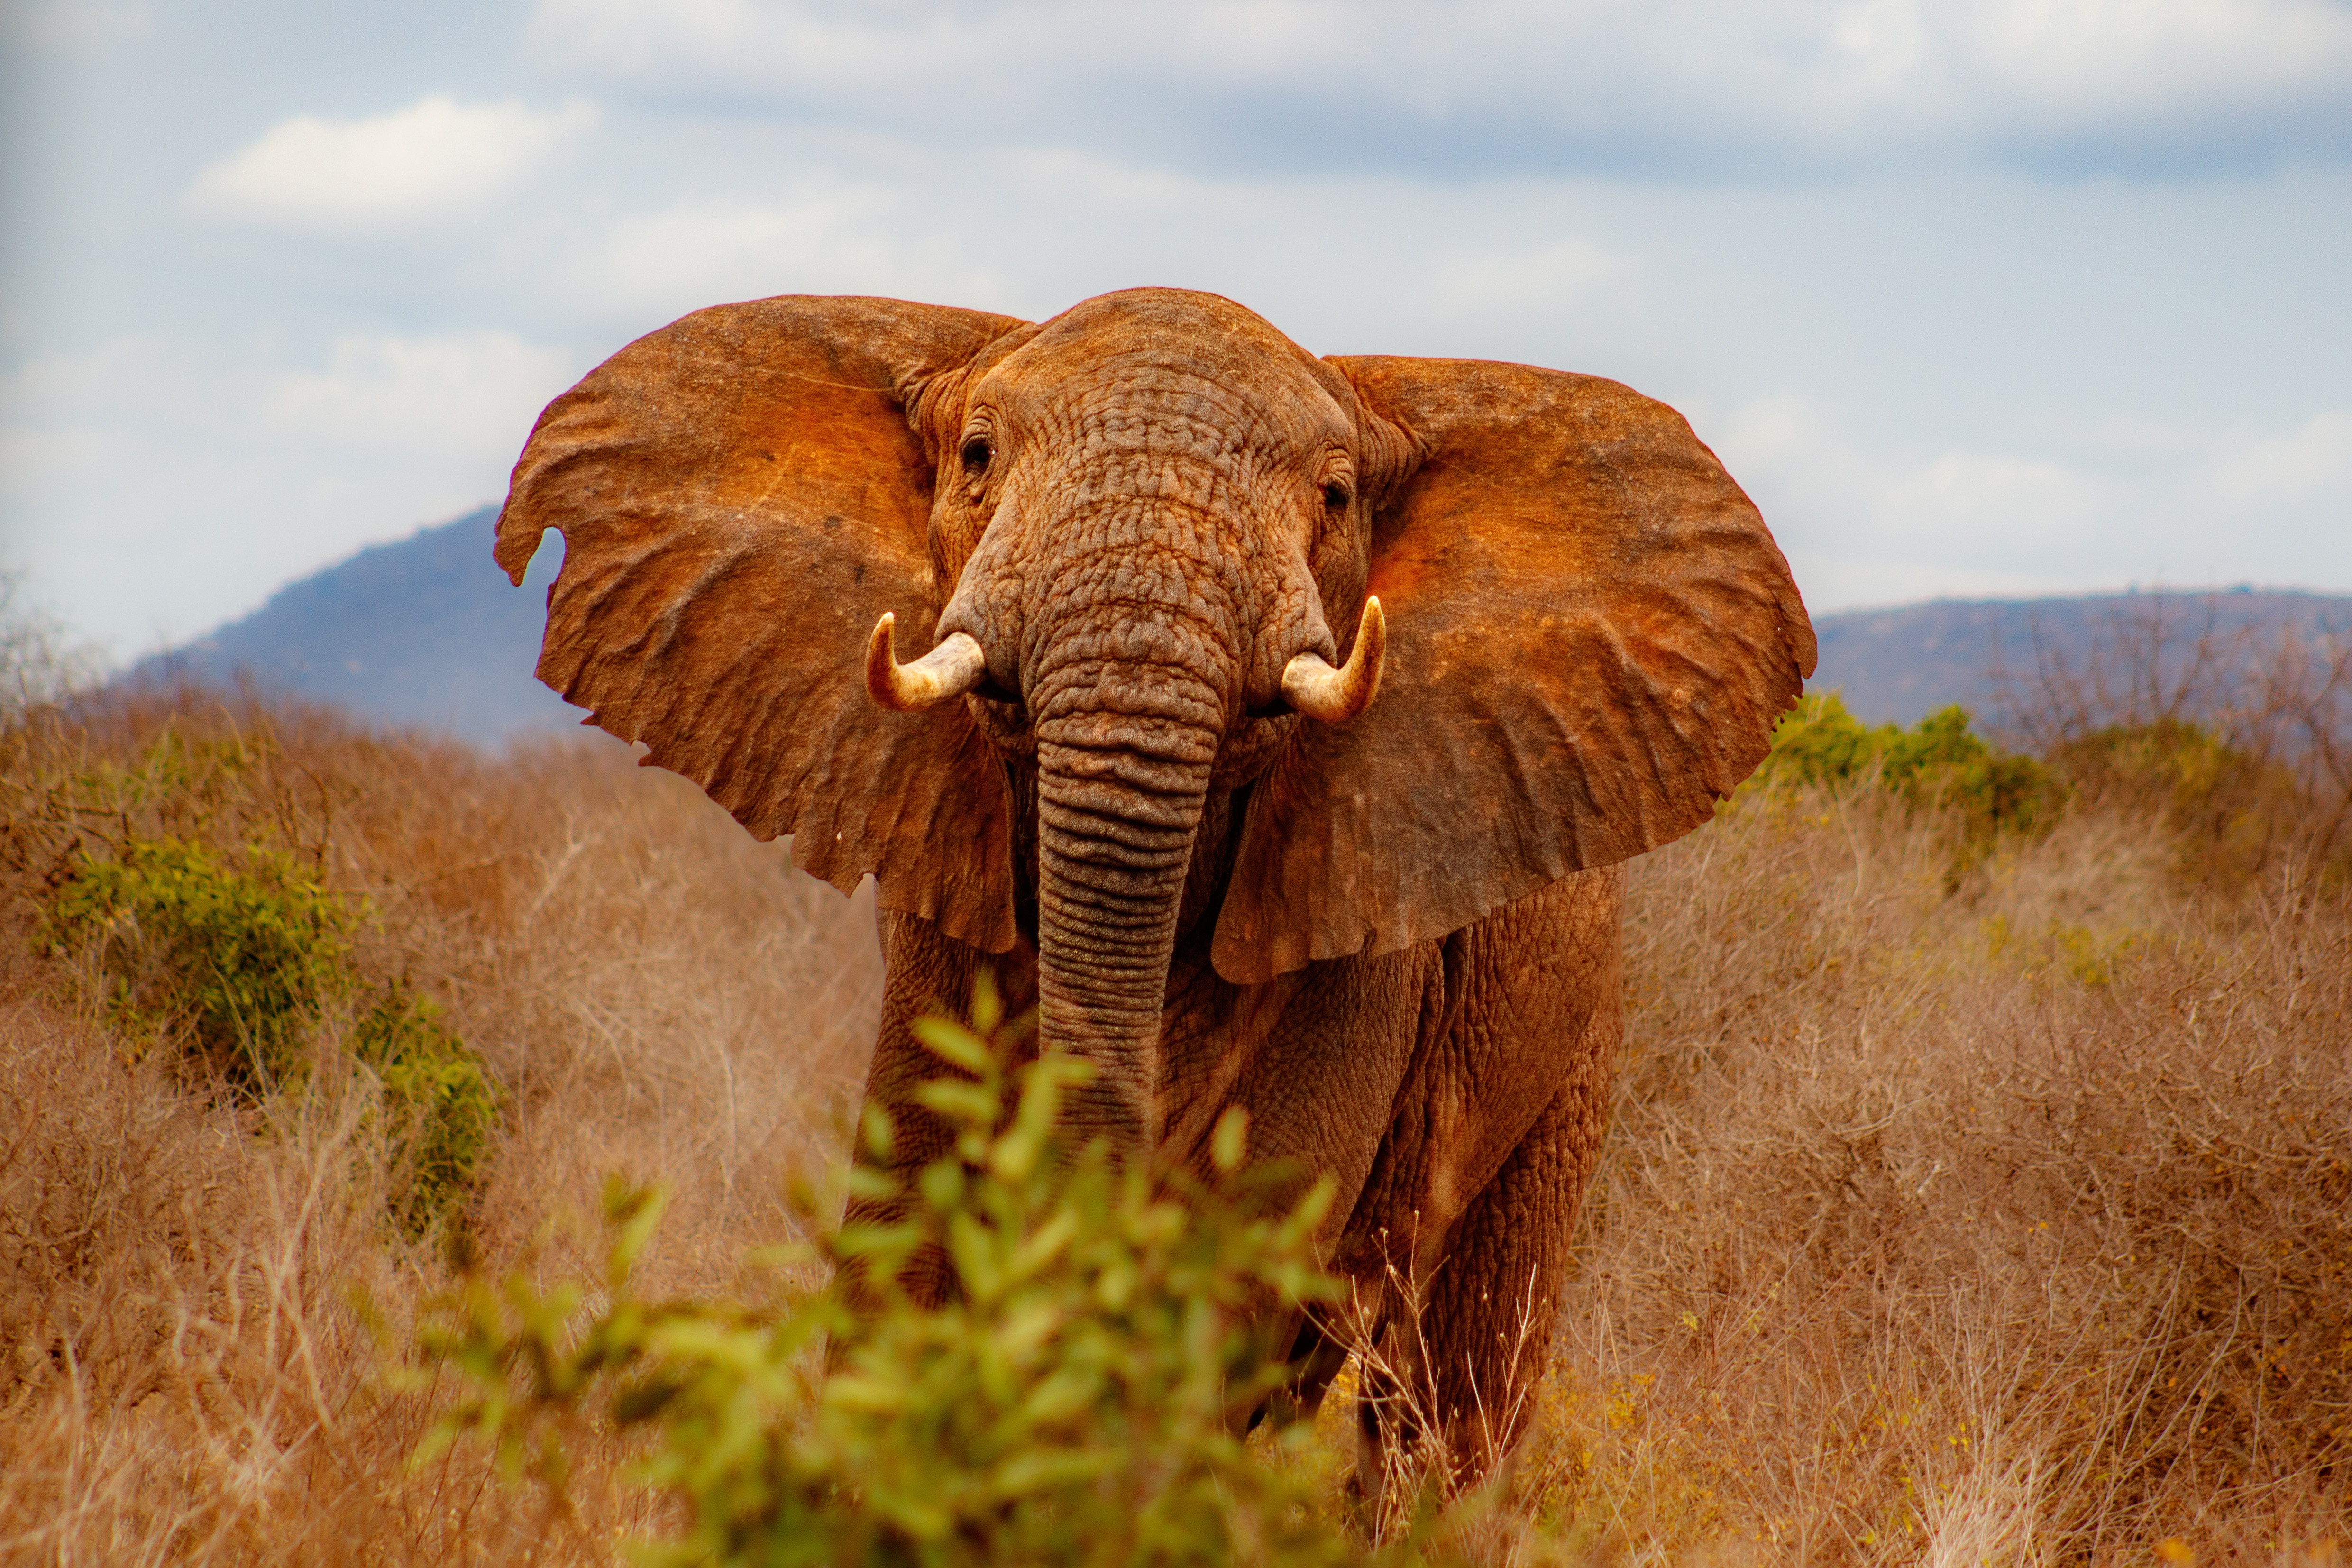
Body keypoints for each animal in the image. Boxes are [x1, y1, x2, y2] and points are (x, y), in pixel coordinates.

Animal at [493, 287, 1814, 1489]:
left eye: (1335, 498)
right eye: (976, 457)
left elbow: (1238, 1245)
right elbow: (903, 1232)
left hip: (1575, 1042)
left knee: (1450, 1400)